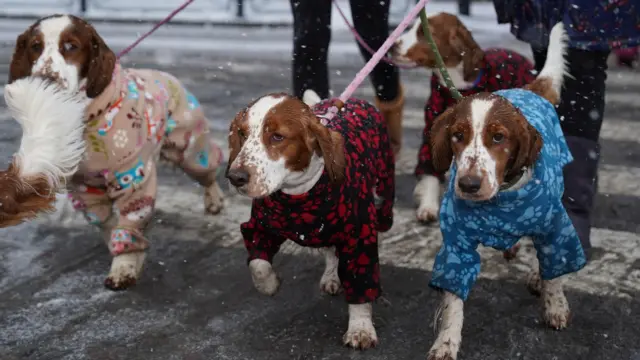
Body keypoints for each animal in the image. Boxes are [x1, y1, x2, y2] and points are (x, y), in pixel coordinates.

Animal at [225, 89, 396, 348]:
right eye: (242, 134)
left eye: (277, 137)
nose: (236, 177)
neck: (298, 194)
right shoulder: (259, 228)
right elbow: (259, 264)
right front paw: (269, 285)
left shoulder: (357, 238)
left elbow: (361, 285)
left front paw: (360, 329)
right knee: (330, 251)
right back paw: (331, 276)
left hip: (384, 196)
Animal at [422, 23, 588, 360]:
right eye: (457, 135)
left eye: (498, 137)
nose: (469, 185)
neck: (501, 199)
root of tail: (529, 90)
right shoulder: (457, 245)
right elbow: (453, 301)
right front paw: (446, 342)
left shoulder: (554, 225)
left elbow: (556, 270)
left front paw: (555, 305)